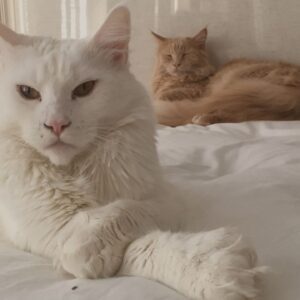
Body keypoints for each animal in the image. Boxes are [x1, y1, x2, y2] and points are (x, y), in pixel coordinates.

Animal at [0, 7, 262, 300]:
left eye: (84, 89)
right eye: (27, 92)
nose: (56, 124)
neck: (76, 169)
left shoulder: (166, 198)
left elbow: (125, 215)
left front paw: (214, 267)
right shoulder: (38, 231)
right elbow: (131, 250)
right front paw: (220, 266)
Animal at [151, 28, 300, 126]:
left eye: (185, 54)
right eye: (169, 56)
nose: (176, 64)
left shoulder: (195, 93)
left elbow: (163, 96)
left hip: (235, 84)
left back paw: (201, 118)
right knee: (242, 115)